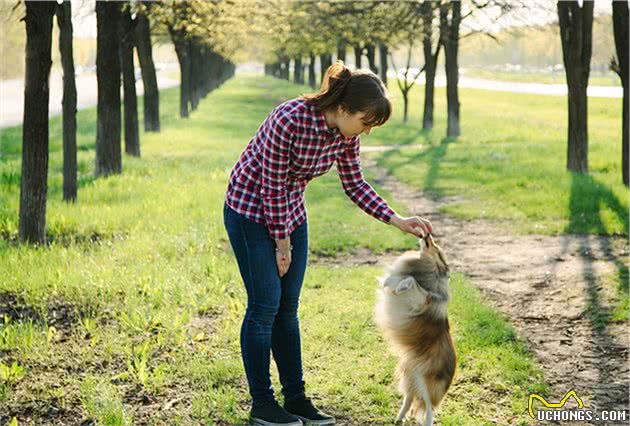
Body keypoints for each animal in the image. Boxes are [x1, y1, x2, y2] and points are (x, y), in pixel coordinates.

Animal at [376, 236, 460, 426]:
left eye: (436, 246)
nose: (426, 235)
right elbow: (401, 279)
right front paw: (392, 282)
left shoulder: (422, 300)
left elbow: (412, 281)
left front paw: (402, 285)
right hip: (410, 378)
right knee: (408, 400)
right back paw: (398, 419)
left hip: (427, 386)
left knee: (429, 410)